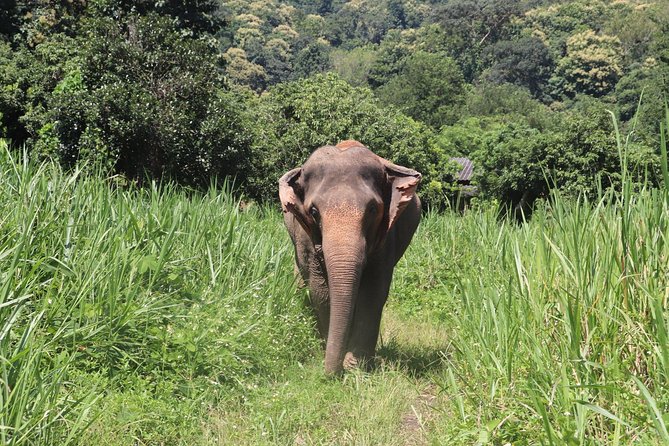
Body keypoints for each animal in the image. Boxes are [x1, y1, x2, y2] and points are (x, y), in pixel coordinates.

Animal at [279, 140, 422, 375]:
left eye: (372, 209)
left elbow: (373, 291)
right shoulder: (305, 235)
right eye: (314, 212)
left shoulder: (386, 235)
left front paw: (356, 366)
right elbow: (321, 290)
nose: (328, 374)